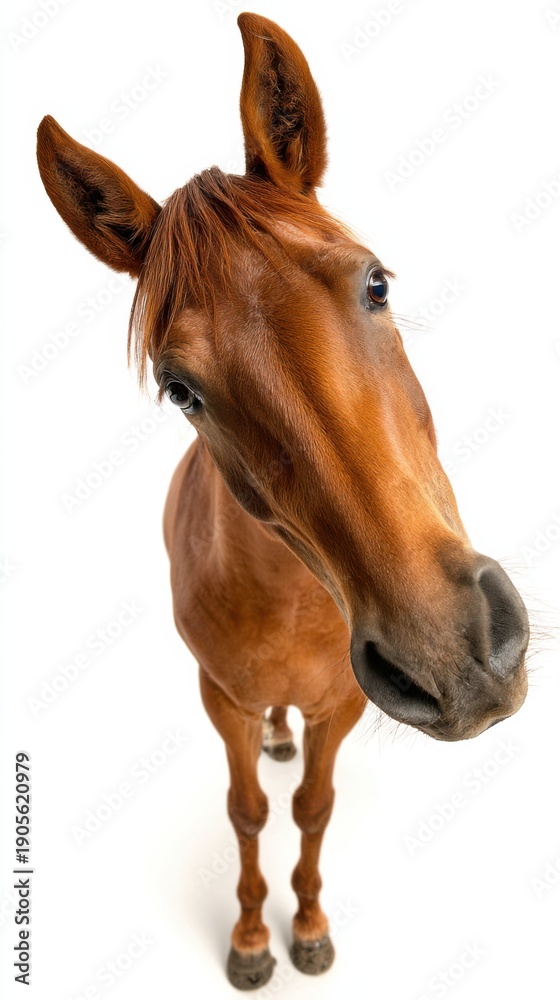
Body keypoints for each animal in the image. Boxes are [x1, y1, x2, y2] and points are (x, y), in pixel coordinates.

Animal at [36, 12, 529, 991]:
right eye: (182, 389)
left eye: (376, 282)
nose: (454, 653)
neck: (299, 605)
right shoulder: (219, 698)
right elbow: (249, 814)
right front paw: (254, 939)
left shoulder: (341, 706)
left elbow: (312, 808)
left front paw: (306, 927)